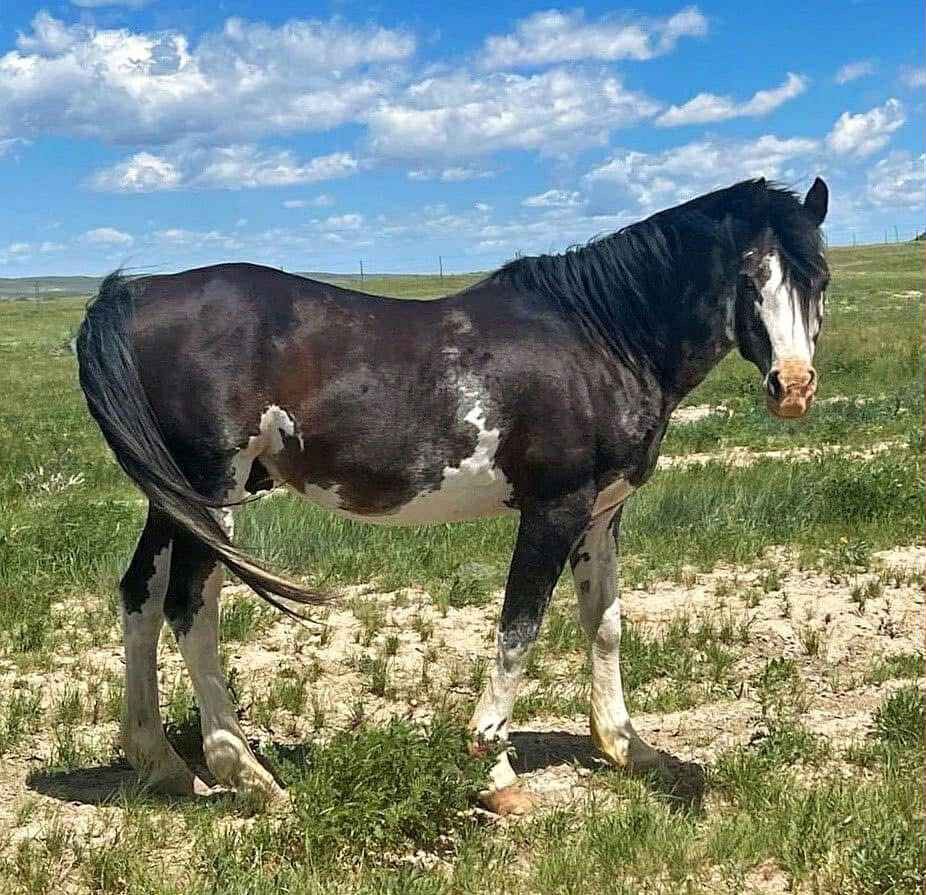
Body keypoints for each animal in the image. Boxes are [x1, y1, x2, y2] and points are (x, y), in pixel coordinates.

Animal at [76, 177, 829, 814]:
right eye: (749, 278)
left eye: (817, 277)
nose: (792, 387)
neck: (602, 338)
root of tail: (136, 297)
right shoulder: (555, 508)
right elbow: (519, 628)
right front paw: (494, 770)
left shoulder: (602, 514)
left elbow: (605, 624)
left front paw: (627, 747)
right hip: (212, 491)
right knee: (189, 607)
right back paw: (250, 776)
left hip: (172, 497)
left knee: (141, 595)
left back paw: (160, 762)